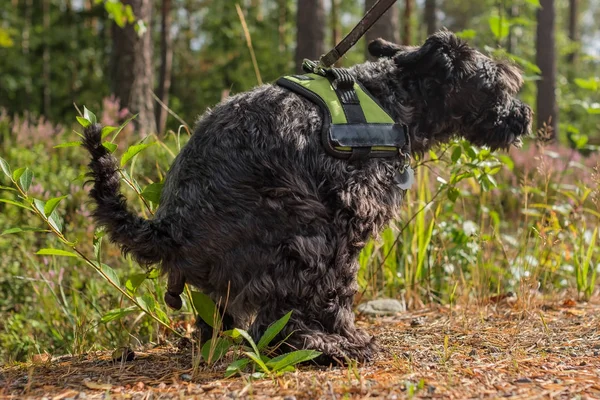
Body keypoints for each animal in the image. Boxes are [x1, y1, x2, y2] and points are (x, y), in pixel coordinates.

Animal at [82, 30, 532, 362]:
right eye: (500, 84)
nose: (524, 116)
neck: (392, 98)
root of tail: (167, 228)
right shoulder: (347, 222)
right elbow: (341, 294)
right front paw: (348, 336)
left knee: (223, 320)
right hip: (304, 238)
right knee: (277, 324)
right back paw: (326, 348)